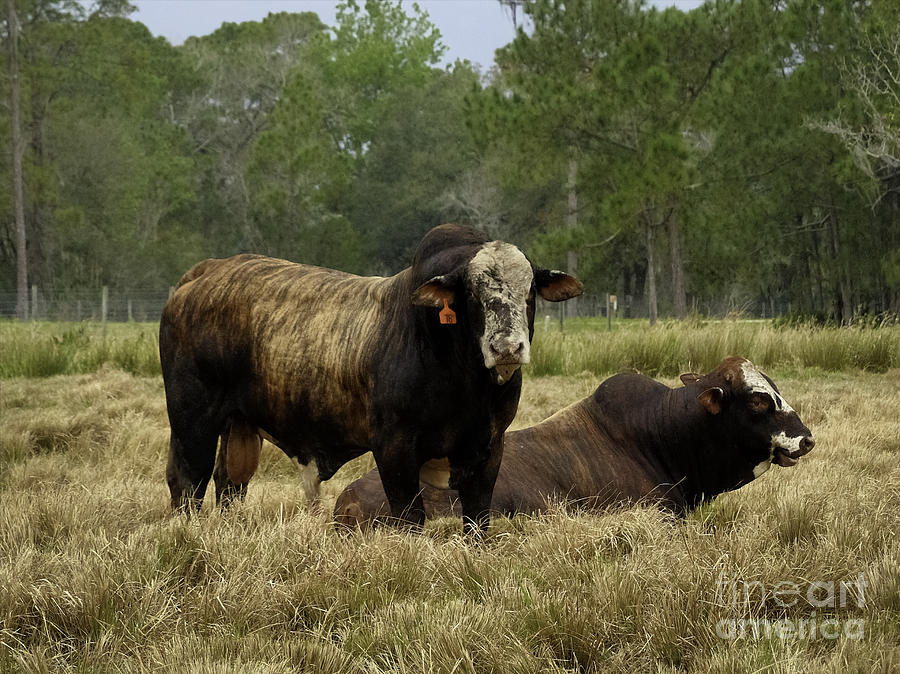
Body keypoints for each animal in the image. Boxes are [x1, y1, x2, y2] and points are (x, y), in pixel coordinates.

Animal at [160, 223, 584, 532]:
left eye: (529, 292)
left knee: (229, 484)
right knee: (188, 483)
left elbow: (478, 518)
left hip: (238, 427)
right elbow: (410, 517)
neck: (464, 381)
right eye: (471, 295)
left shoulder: (489, 446)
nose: (506, 348)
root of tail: (203, 272)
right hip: (192, 422)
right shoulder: (394, 447)